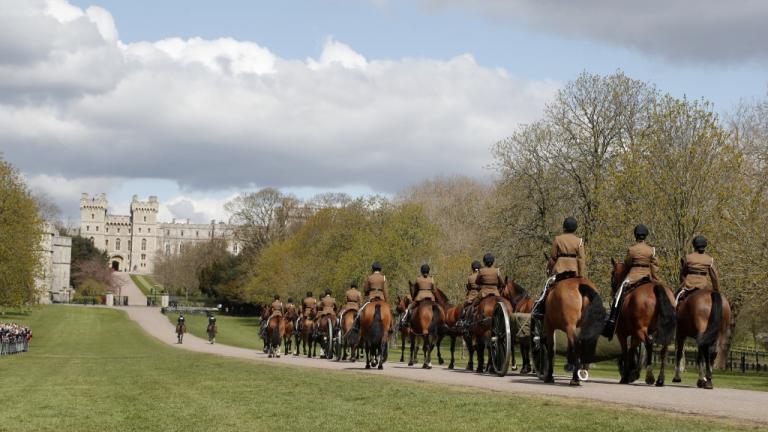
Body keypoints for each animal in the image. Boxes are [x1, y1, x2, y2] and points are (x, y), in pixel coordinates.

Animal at [608, 258, 676, 386]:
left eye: (612, 274)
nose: (613, 292)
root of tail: (657, 287)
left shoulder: (622, 334)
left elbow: (626, 351)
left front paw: (626, 376)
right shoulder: (635, 335)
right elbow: (632, 351)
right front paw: (631, 374)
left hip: (641, 330)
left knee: (649, 344)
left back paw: (650, 376)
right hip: (659, 331)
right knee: (664, 350)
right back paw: (660, 379)